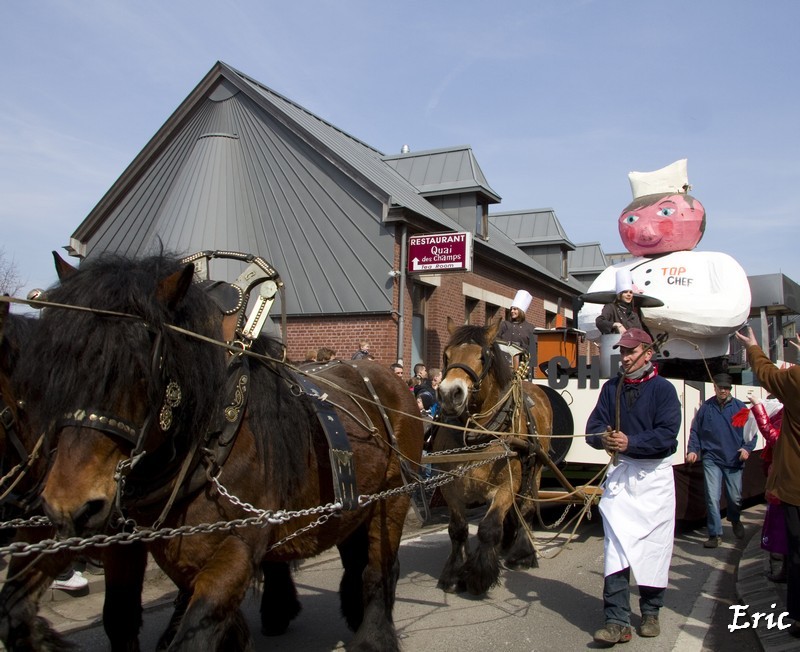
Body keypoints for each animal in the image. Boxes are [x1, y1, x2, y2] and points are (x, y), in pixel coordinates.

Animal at [20, 252, 424, 651]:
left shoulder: (235, 548)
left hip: (392, 498)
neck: (215, 433)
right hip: (354, 503)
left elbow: (196, 632)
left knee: (378, 567)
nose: (69, 505)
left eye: (140, 369)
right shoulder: (131, 543)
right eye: (57, 364)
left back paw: (371, 636)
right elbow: (120, 619)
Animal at [431, 317, 553, 596]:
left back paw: (522, 554)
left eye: (482, 356)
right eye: (446, 355)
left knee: (527, 508)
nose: (449, 394)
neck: (477, 434)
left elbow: (488, 528)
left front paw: (479, 575)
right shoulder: (450, 487)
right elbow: (458, 530)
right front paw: (453, 573)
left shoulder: (508, 484)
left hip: (536, 468)